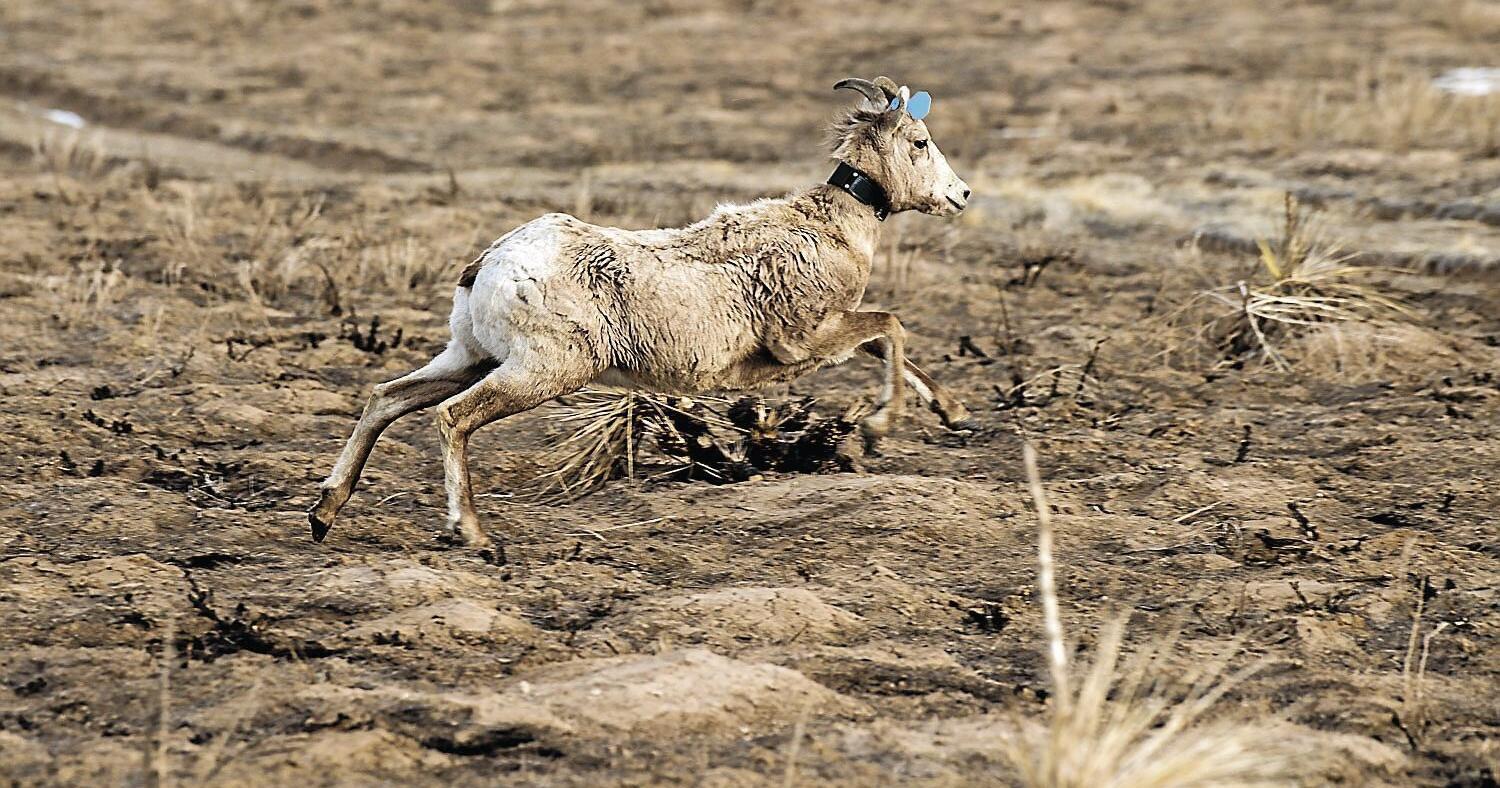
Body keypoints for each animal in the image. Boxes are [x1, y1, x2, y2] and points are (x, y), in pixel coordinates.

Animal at [309, 75, 974, 552]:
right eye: (920, 143)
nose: (961, 195)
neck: (830, 228)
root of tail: (492, 264)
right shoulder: (804, 341)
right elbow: (891, 327)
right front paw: (880, 428)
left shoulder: (827, 334)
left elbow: (886, 340)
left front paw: (955, 414)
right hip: (540, 371)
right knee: (452, 418)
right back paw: (475, 537)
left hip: (470, 357)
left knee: (387, 398)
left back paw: (324, 513)